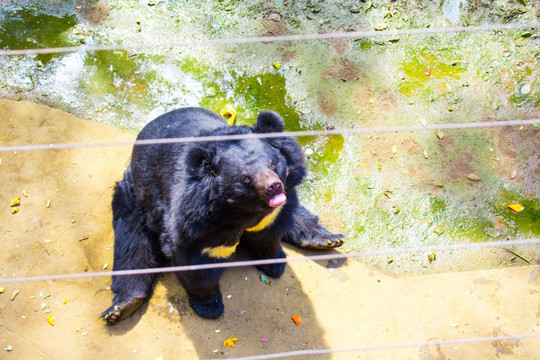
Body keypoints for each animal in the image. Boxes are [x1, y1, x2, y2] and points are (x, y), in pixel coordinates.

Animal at [102, 107, 342, 324]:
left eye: (273, 164)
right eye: (246, 178)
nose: (274, 187)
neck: (244, 209)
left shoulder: (276, 209)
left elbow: (269, 234)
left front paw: (274, 264)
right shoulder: (194, 217)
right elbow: (193, 258)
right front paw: (210, 306)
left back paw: (328, 239)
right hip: (135, 199)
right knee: (132, 245)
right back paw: (122, 307)